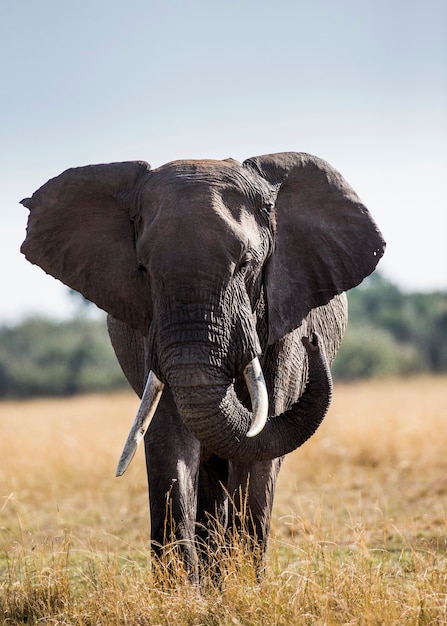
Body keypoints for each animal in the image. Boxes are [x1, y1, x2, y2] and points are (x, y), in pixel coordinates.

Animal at [21, 152, 384, 580]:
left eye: (245, 264)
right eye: (143, 269)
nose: (314, 341)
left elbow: (259, 448)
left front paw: (244, 585)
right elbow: (170, 440)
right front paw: (182, 590)